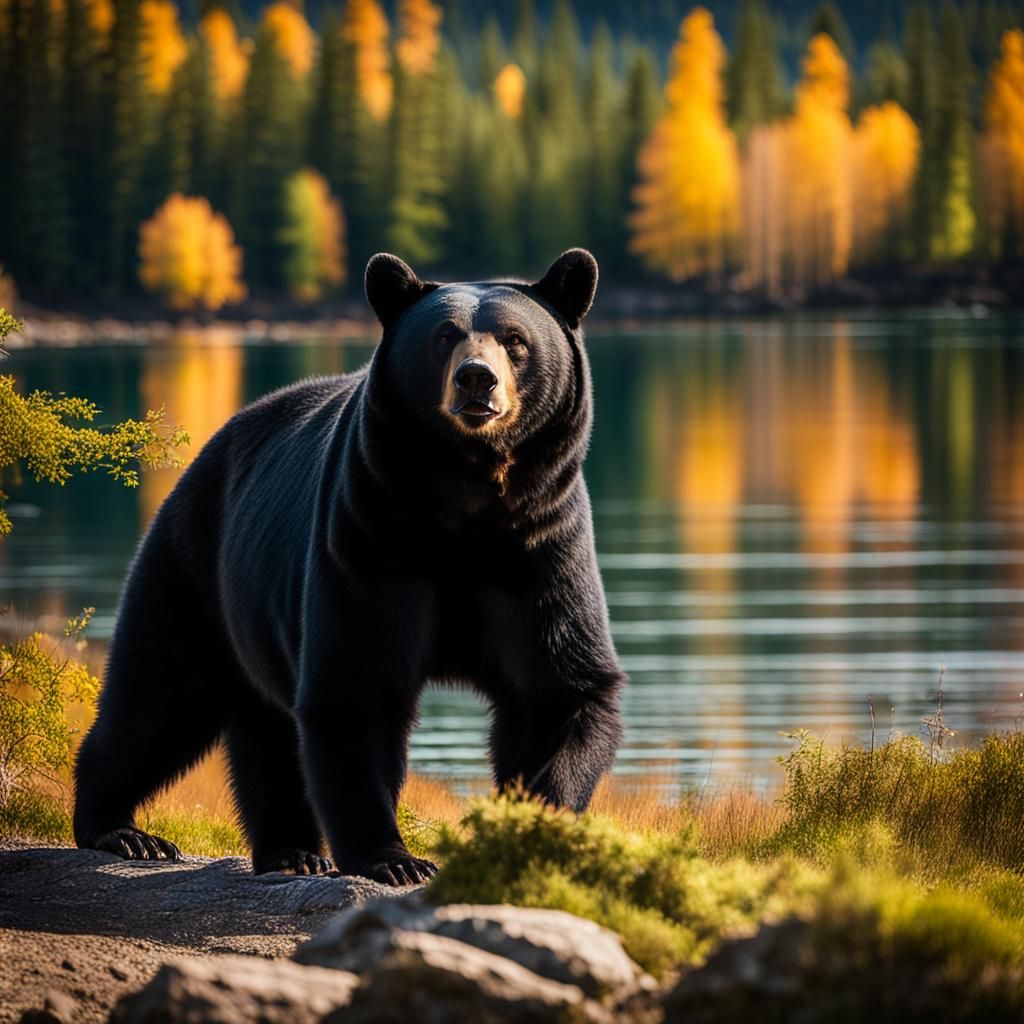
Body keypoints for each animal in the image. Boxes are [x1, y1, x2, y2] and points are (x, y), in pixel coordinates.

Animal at [73, 249, 626, 886]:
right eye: (444, 336)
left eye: (515, 339)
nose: (476, 379)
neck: (468, 500)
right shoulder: (369, 536)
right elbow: (355, 684)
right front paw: (394, 859)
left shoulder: (540, 550)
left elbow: (559, 689)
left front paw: (533, 827)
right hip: (194, 563)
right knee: (159, 692)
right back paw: (121, 830)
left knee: (263, 726)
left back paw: (289, 850)